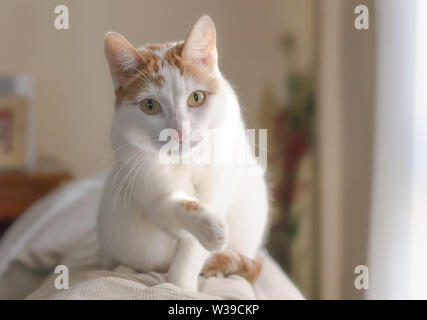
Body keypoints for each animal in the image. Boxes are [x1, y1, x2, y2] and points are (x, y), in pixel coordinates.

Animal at [98, 15, 270, 292]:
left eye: (196, 98)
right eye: (150, 106)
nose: (179, 131)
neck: (182, 161)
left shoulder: (220, 184)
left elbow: (191, 249)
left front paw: (183, 285)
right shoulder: (151, 194)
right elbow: (176, 206)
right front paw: (208, 228)